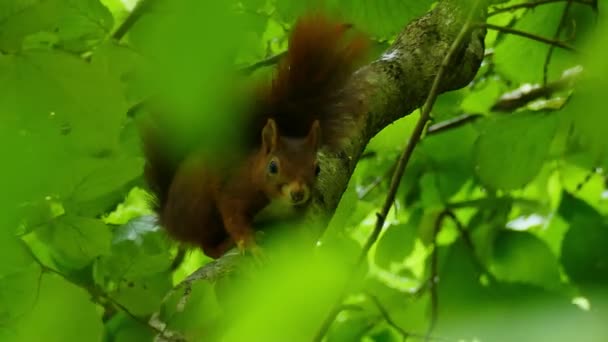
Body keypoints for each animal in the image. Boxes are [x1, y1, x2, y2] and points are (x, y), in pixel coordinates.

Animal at [140, 13, 368, 260]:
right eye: (273, 167)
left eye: (317, 168)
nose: (298, 193)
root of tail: (169, 218)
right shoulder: (235, 191)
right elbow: (233, 216)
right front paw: (250, 245)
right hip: (200, 207)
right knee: (207, 246)